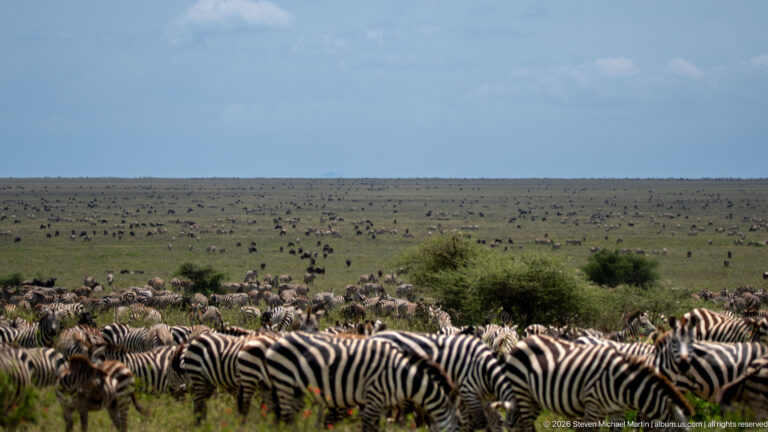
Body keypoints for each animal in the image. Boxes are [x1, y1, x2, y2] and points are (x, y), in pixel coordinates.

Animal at [264, 332, 461, 431]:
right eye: (459, 430)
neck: (400, 376)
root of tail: (277, 340)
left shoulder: (382, 405)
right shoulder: (373, 397)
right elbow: (367, 428)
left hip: (296, 390)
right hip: (284, 382)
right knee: (286, 418)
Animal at [502, 335, 693, 432]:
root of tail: (524, 340)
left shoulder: (617, 410)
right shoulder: (593, 405)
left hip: (533, 397)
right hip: (522, 390)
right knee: (526, 426)